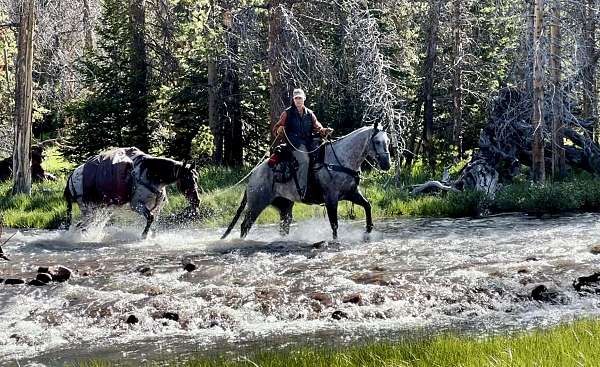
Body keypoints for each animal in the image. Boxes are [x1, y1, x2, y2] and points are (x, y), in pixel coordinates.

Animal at [63, 147, 200, 239]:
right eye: (187, 179)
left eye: (196, 178)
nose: (197, 201)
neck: (151, 175)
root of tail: (71, 176)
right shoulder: (137, 205)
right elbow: (150, 218)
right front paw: (144, 236)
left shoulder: (157, 207)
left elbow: (154, 220)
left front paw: (152, 235)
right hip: (90, 210)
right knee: (82, 226)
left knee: (81, 226)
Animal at [223, 125, 392, 242]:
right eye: (377, 141)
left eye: (388, 141)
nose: (387, 164)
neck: (340, 160)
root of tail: (253, 174)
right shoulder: (331, 199)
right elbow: (334, 224)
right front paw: (336, 240)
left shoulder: (351, 194)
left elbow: (367, 206)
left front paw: (368, 231)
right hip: (256, 204)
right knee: (245, 225)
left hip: (284, 207)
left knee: (283, 227)